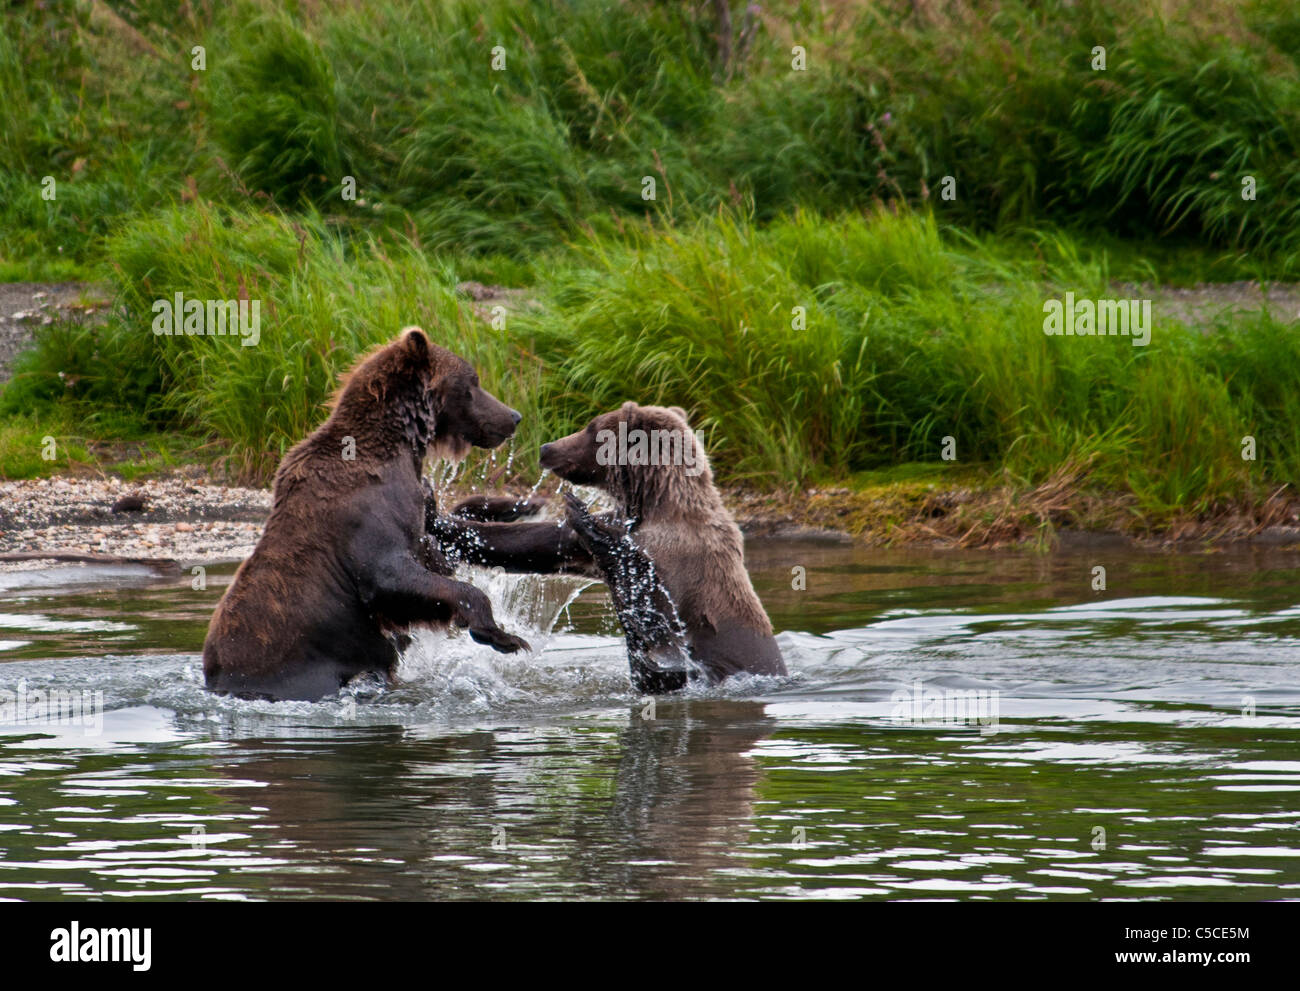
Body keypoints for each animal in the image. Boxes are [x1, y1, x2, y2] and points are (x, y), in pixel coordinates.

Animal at [202, 327, 527, 697]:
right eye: (472, 382)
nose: (513, 416)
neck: (400, 448)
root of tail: (217, 680)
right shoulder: (366, 519)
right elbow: (389, 577)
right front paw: (503, 635)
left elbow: (430, 553)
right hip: (296, 668)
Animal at [434, 400, 780, 686]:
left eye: (591, 428)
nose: (546, 447)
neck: (652, 506)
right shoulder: (604, 534)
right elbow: (536, 542)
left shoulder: (673, 562)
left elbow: (660, 631)